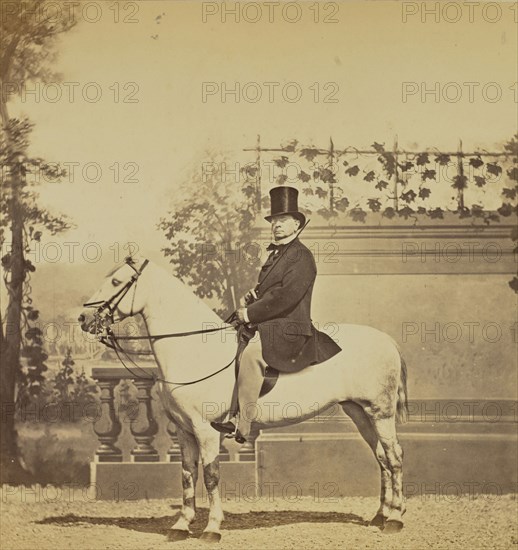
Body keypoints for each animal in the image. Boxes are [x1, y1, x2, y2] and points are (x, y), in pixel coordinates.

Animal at [79, 258, 408, 544]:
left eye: (116, 281)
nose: (83, 318)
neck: (193, 348)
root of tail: (389, 341)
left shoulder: (206, 430)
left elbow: (210, 475)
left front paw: (212, 528)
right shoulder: (184, 431)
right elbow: (187, 475)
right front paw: (182, 525)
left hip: (380, 413)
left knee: (394, 457)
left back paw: (395, 519)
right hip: (360, 413)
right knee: (381, 458)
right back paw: (380, 515)